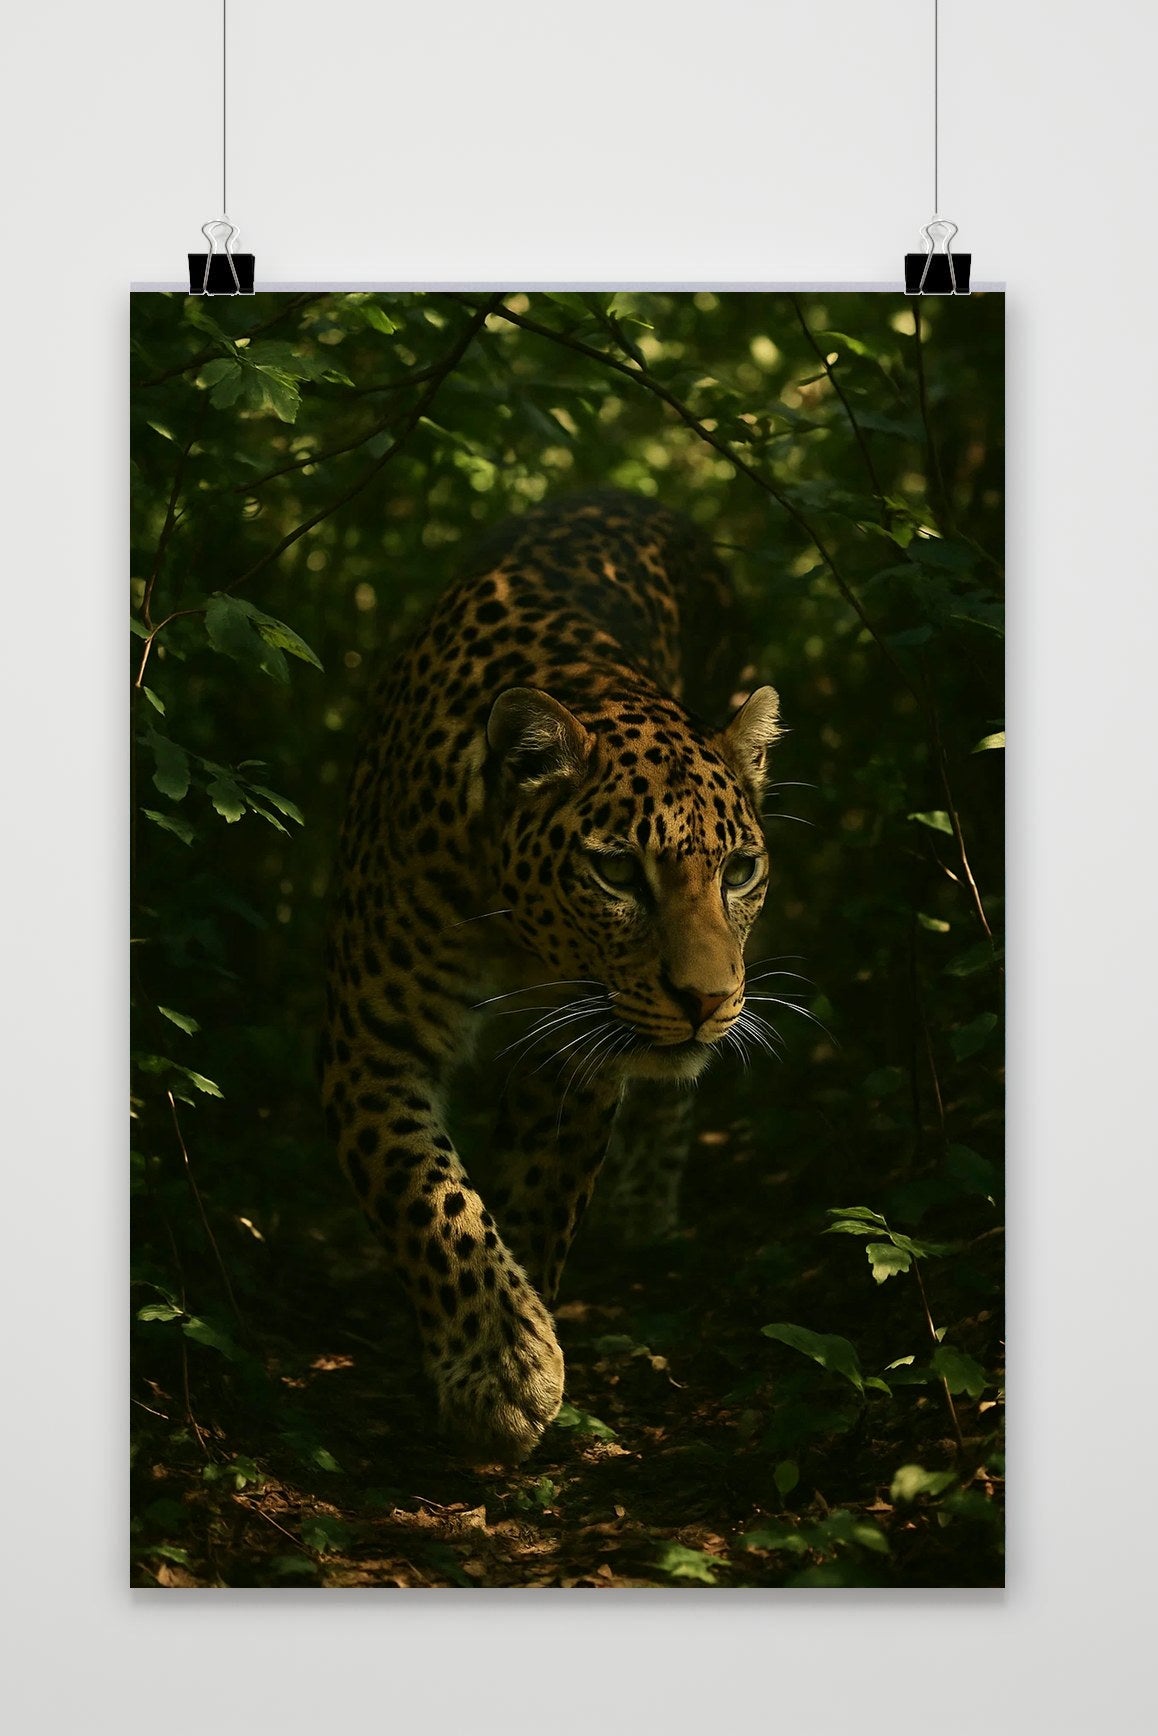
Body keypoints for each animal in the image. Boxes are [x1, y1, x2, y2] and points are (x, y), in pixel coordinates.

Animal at [322, 489, 782, 1462]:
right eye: (616, 873)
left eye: (738, 871)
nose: (706, 1000)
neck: (518, 931)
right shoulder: (369, 1040)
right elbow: (429, 1194)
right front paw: (501, 1363)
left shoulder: (578, 1055)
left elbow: (539, 1199)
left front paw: (511, 1343)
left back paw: (649, 1212)